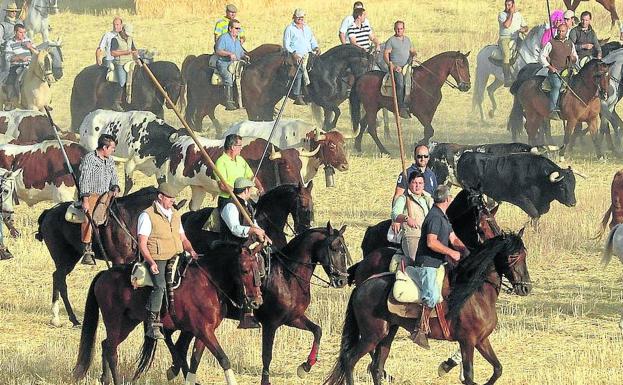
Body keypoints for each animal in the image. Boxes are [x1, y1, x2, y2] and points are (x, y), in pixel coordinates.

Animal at [35, 184, 167, 326]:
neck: (128, 218)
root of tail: (49, 212)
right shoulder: (118, 260)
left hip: (71, 258)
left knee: (56, 277)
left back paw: (55, 317)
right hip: (61, 258)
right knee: (61, 281)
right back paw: (72, 318)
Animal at [71, 240, 266, 384]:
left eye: (261, 271)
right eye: (245, 270)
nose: (256, 302)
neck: (208, 283)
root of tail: (104, 274)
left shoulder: (203, 332)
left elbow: (194, 360)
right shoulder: (204, 330)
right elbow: (223, 359)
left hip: (128, 323)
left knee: (106, 345)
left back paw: (105, 379)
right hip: (114, 321)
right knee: (111, 350)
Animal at [166, 222, 354, 384]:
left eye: (344, 249)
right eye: (334, 248)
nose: (342, 281)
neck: (287, 275)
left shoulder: (293, 318)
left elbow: (317, 331)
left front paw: (305, 366)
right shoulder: (271, 324)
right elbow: (267, 355)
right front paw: (266, 380)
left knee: (182, 348)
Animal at [322, 230, 532, 384]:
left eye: (524, 255)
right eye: (512, 256)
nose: (526, 287)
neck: (475, 294)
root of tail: (362, 286)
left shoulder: (481, 341)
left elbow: (498, 369)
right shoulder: (467, 341)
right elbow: (470, 377)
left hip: (387, 334)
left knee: (376, 368)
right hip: (371, 335)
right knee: (350, 360)